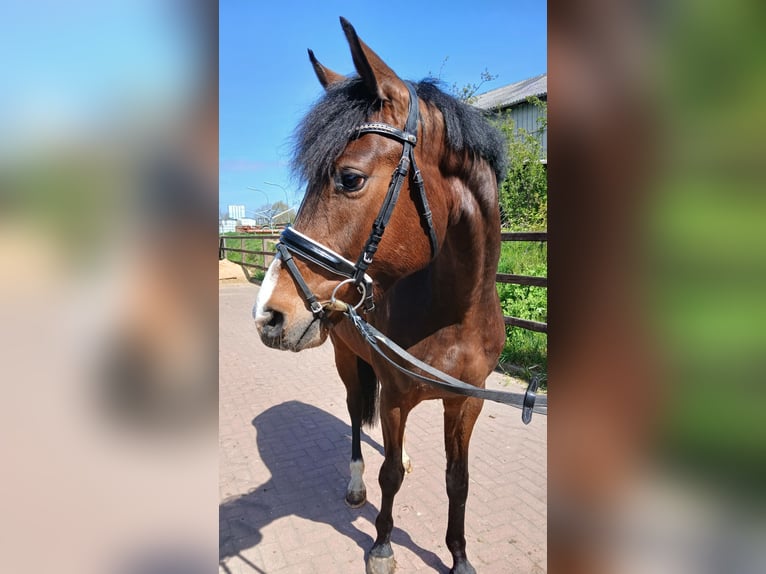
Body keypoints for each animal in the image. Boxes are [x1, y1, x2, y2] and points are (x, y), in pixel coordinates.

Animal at [254, 17, 507, 574]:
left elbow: (459, 481)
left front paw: (459, 557)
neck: (453, 315)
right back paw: (355, 484)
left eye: (350, 178)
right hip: (349, 361)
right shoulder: (391, 395)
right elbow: (387, 474)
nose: (267, 315)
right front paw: (382, 546)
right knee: (354, 417)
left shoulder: (466, 403)